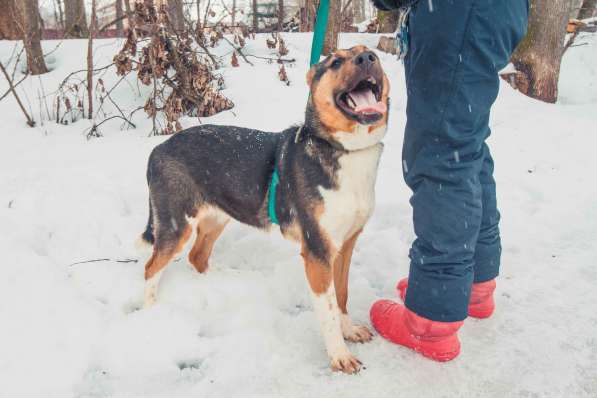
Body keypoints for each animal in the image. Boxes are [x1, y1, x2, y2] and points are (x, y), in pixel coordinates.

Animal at [140, 45, 392, 374]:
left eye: (371, 53)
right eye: (336, 61)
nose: (367, 59)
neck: (346, 150)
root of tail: (159, 148)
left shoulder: (345, 245)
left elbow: (342, 295)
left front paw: (348, 330)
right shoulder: (318, 252)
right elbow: (328, 310)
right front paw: (339, 354)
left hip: (217, 216)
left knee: (197, 257)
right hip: (175, 225)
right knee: (151, 268)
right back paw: (150, 314)